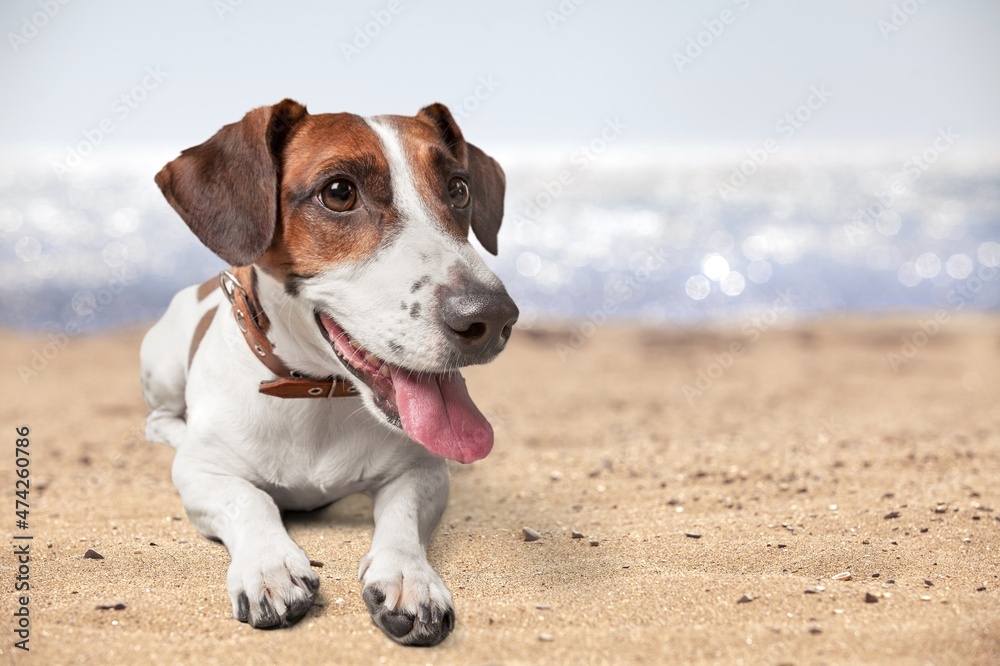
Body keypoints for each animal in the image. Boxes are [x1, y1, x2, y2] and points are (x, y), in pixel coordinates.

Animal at [142, 101, 520, 644]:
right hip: (162, 367)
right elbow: (249, 500)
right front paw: (270, 566)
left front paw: (409, 577)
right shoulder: (203, 473)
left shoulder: (422, 470)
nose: (492, 318)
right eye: (339, 193)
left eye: (458, 189)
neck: (311, 393)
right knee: (158, 421)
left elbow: (401, 518)